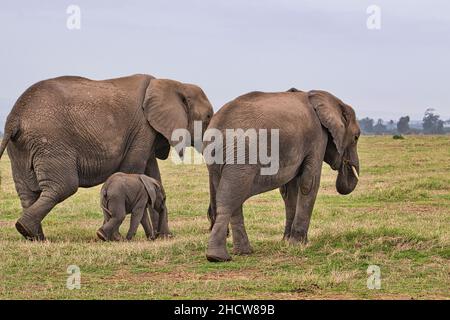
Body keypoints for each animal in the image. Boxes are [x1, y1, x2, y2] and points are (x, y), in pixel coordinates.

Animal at [0, 74, 214, 240]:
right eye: (208, 117)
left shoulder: (147, 134)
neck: (174, 84)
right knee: (63, 186)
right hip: (50, 141)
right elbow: (133, 171)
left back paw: (34, 236)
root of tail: (14, 118)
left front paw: (164, 237)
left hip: (20, 147)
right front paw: (119, 238)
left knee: (28, 192)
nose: (210, 223)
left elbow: (152, 175)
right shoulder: (142, 129)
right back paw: (28, 230)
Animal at [206, 89, 360, 262]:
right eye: (356, 137)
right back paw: (218, 257)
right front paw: (298, 244)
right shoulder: (318, 137)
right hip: (242, 157)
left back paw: (241, 252)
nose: (345, 166)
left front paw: (287, 241)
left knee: (232, 198)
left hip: (218, 161)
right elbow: (309, 183)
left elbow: (289, 190)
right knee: (230, 198)